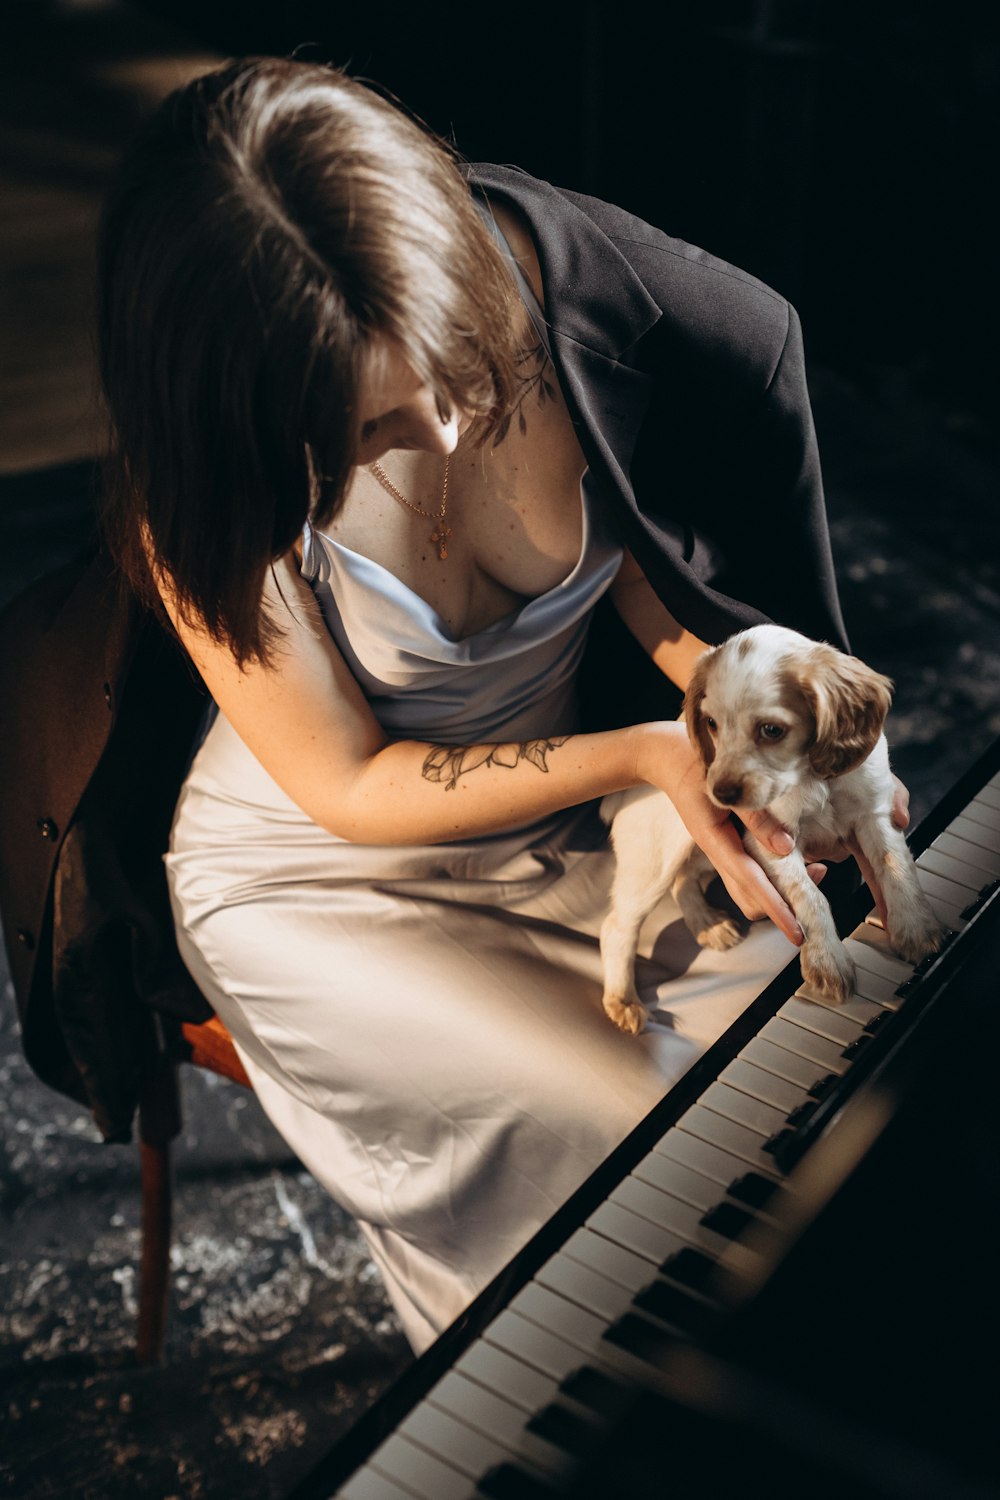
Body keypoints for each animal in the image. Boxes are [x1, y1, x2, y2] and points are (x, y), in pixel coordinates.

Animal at [602, 627, 947, 1038]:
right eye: (711, 724)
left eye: (771, 730)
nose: (720, 795)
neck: (809, 776)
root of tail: (626, 793)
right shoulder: (771, 841)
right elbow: (810, 896)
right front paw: (827, 962)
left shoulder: (875, 810)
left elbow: (895, 865)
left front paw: (916, 928)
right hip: (652, 861)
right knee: (617, 926)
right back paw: (624, 1000)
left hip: (701, 854)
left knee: (683, 881)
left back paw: (708, 925)